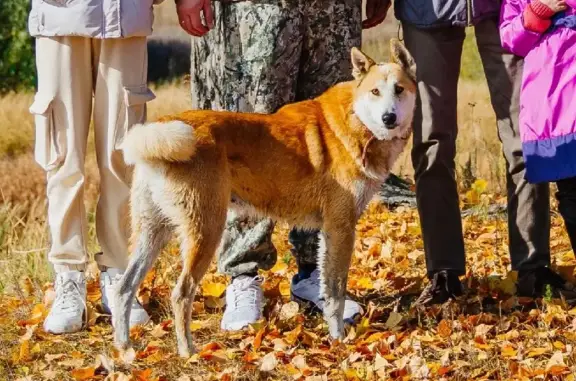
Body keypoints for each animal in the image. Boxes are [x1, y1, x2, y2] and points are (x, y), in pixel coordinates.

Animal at [112, 38, 416, 356]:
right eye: (375, 92)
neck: (356, 121)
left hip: (152, 231)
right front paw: (339, 339)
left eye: (399, 89)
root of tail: (162, 129)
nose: (389, 117)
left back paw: (124, 348)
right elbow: (336, 293)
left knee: (124, 288)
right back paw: (188, 353)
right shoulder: (341, 228)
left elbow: (325, 283)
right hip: (206, 229)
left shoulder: (326, 231)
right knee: (181, 293)